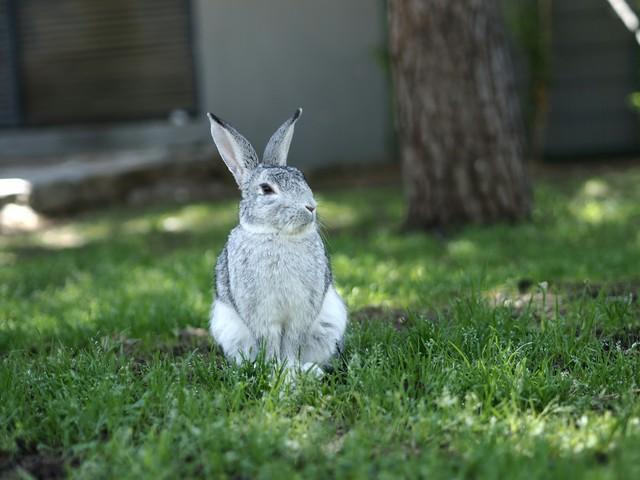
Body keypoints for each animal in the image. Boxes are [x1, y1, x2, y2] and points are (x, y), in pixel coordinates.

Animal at [208, 109, 348, 376]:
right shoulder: (261, 315)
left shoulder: (300, 313)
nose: (311, 207)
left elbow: (292, 342)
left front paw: (291, 370)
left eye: (302, 178)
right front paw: (276, 371)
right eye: (266, 189)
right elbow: (270, 342)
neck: (278, 235)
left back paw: (310, 370)